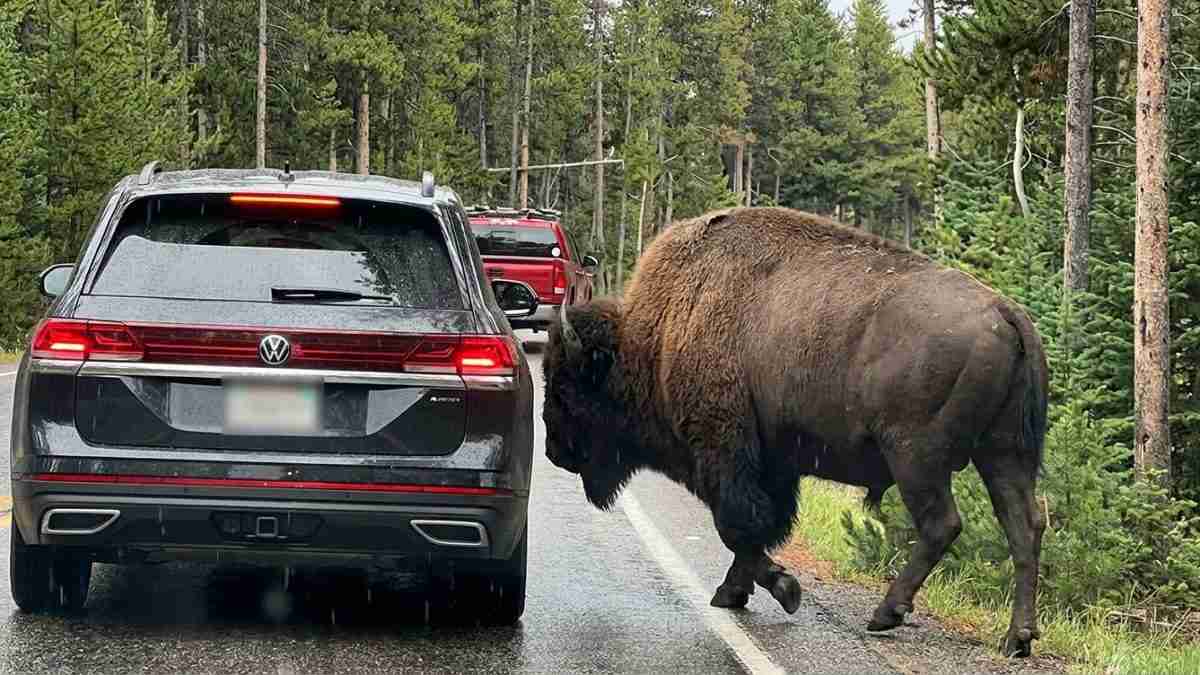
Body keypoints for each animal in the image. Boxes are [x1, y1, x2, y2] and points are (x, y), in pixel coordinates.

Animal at [542, 207, 1049, 657]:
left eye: (566, 386)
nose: (552, 452)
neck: (659, 335)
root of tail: (1006, 311)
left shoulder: (724, 453)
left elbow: (739, 527)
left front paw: (780, 589)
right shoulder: (772, 465)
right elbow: (760, 527)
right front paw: (736, 592)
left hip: (916, 458)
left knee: (942, 524)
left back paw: (886, 614)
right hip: (1004, 454)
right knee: (1024, 526)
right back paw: (1018, 639)